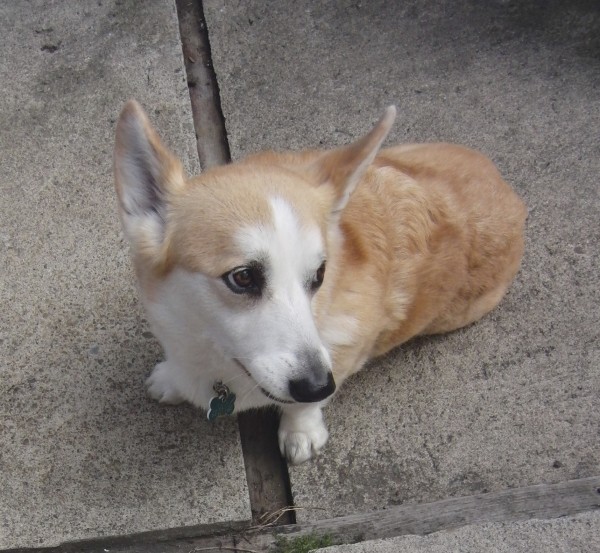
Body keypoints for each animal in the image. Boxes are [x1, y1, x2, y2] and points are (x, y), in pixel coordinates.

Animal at [112, 101, 524, 464]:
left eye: (320, 275)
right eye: (243, 277)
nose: (317, 385)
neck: (213, 352)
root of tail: (509, 191)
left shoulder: (347, 347)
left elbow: (307, 406)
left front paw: (301, 431)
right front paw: (171, 378)